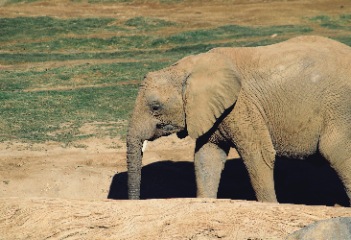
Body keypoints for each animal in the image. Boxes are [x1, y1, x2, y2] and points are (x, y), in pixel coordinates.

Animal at [127, 36, 351, 204]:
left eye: (155, 107)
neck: (188, 68)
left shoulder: (242, 105)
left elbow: (259, 155)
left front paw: (270, 205)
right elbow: (206, 157)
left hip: (339, 108)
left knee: (336, 152)